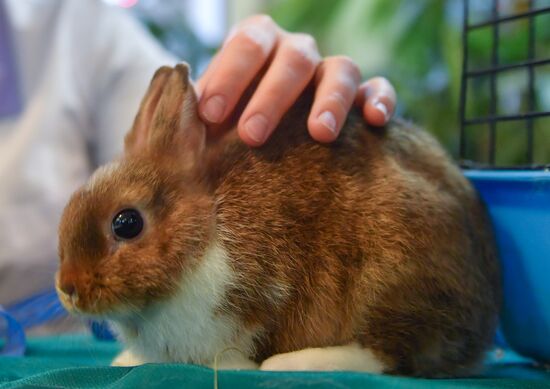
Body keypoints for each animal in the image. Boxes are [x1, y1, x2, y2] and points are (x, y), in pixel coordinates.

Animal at [55, 63, 500, 376]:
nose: (69, 289)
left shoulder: (257, 300)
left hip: (392, 274)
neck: (207, 230)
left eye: (126, 223)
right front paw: (126, 360)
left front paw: (234, 366)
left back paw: (294, 363)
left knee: (387, 353)